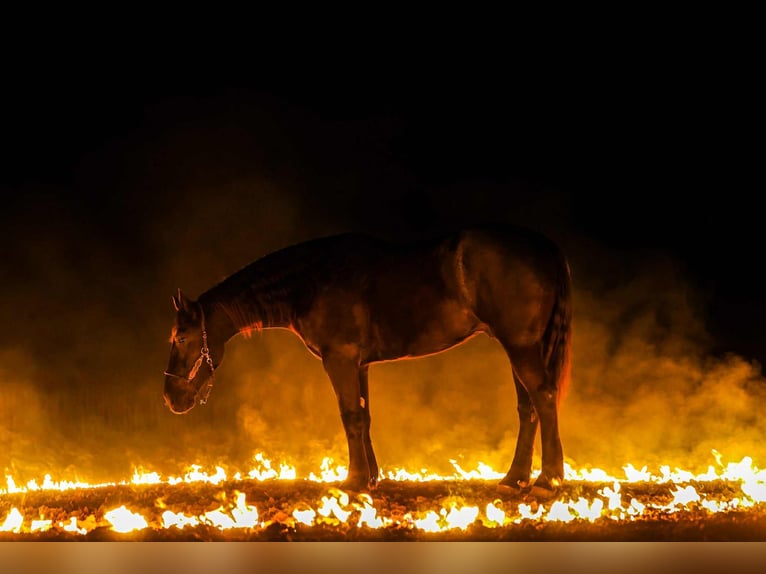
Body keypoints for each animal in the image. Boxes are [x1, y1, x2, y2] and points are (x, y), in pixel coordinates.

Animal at [163, 225, 572, 498]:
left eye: (180, 338)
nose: (170, 397)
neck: (310, 281)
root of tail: (542, 244)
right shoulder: (358, 364)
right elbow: (364, 415)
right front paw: (371, 477)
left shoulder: (339, 359)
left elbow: (350, 416)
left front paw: (355, 480)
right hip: (522, 347)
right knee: (528, 408)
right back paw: (515, 478)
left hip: (520, 346)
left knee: (544, 397)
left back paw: (547, 480)